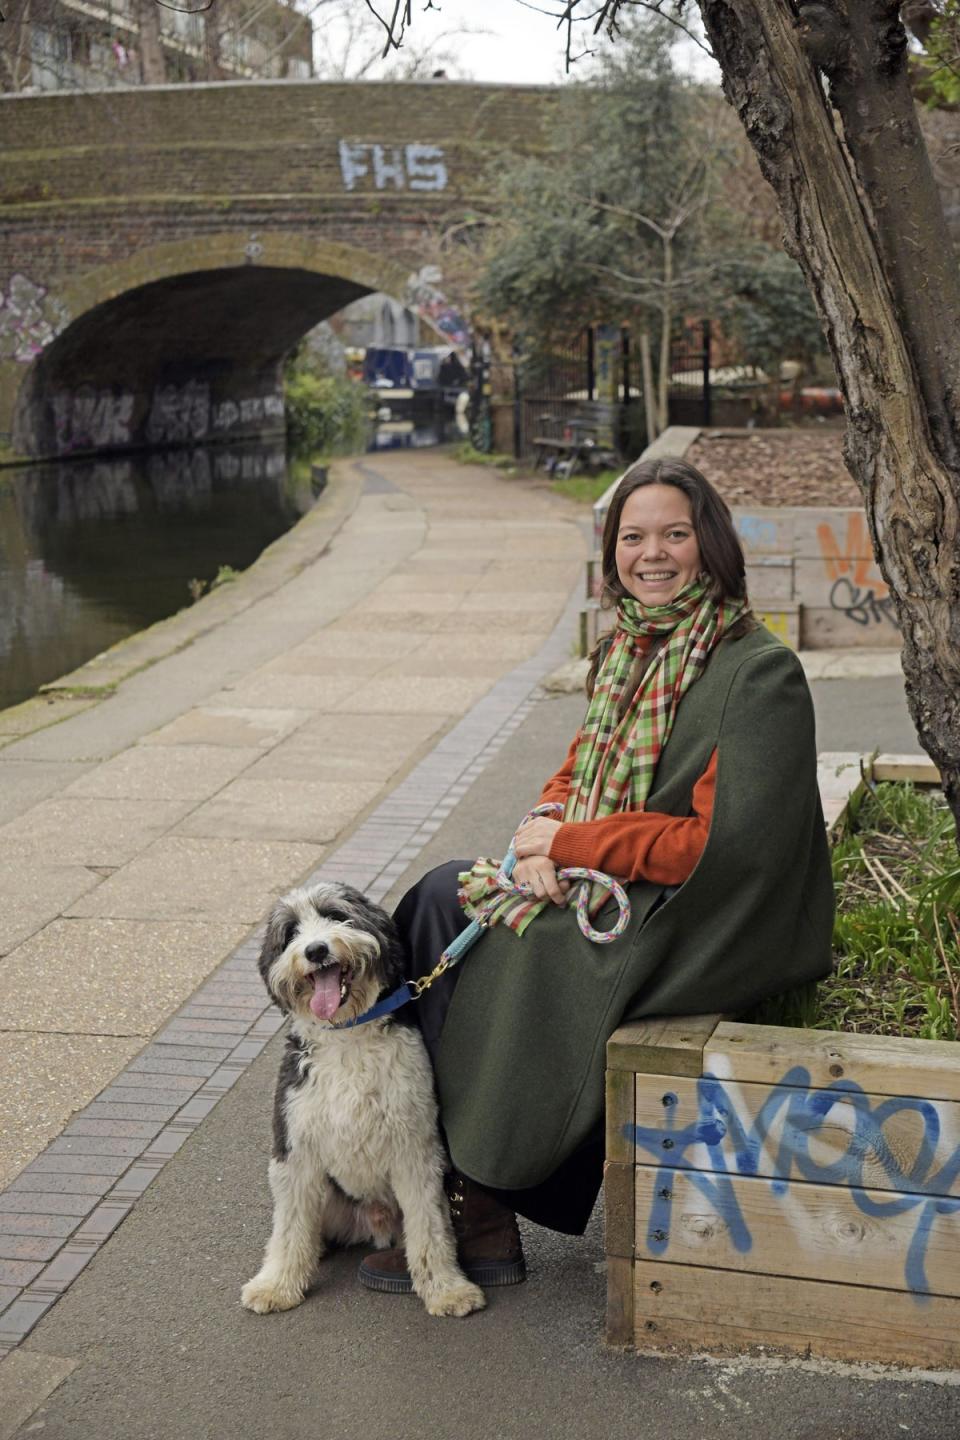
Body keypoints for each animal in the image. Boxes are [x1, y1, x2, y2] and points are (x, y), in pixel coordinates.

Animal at [240, 875, 480, 1319]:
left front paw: (446, 1289)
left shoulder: (416, 1148)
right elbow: (289, 1227)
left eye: (337, 915)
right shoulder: (295, 1147)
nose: (316, 950)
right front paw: (277, 1285)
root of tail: (375, 1220)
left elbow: (430, 1227)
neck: (347, 1034)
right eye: (291, 933)